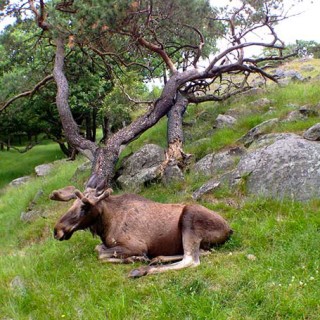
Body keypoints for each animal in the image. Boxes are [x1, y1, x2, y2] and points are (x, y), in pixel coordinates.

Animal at [52, 182, 232, 278]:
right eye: (72, 204)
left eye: (84, 207)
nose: (57, 230)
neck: (106, 225)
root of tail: (229, 230)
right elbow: (99, 249)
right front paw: (135, 258)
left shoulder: (136, 246)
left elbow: (101, 255)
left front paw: (135, 259)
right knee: (204, 252)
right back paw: (157, 259)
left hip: (189, 218)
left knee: (191, 260)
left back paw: (142, 270)